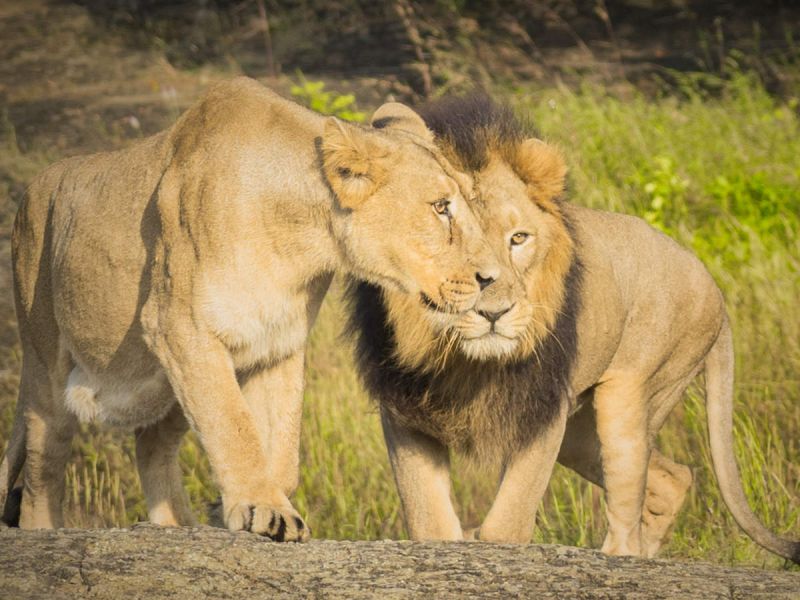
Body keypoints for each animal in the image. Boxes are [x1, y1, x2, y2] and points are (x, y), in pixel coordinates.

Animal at [0, 78, 500, 541]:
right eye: (440, 207)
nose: (490, 277)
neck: (298, 237)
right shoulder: (180, 328)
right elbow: (233, 426)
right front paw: (265, 509)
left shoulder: (277, 342)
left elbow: (281, 443)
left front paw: (265, 505)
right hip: (45, 361)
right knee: (44, 467)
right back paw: (44, 530)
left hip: (167, 384)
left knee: (151, 445)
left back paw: (179, 526)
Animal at [347, 94, 799, 562]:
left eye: (518, 238)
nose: (495, 312)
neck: (465, 361)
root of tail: (716, 288)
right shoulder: (403, 408)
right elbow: (429, 520)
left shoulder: (545, 406)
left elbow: (509, 521)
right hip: (582, 434)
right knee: (672, 479)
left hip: (632, 394)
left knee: (629, 507)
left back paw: (621, 558)